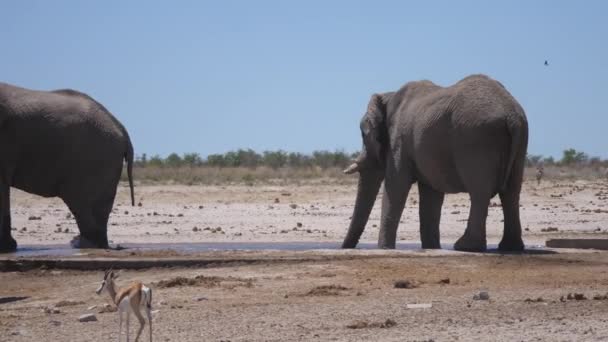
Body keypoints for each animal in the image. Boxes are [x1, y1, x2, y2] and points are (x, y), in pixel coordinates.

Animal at [342, 75, 528, 251]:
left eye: (364, 135)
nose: (345, 247)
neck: (389, 95)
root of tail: (511, 115)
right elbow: (430, 195)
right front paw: (431, 248)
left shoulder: (399, 140)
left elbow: (396, 186)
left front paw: (385, 249)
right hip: (519, 140)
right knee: (511, 192)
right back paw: (510, 247)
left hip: (477, 138)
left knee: (480, 192)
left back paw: (466, 246)